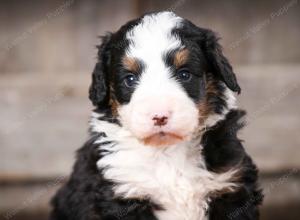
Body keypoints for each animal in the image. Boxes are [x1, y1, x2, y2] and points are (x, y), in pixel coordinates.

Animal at [49, 10, 262, 220]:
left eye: (184, 74)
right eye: (129, 79)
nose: (159, 116)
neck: (167, 152)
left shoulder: (231, 186)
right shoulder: (123, 192)